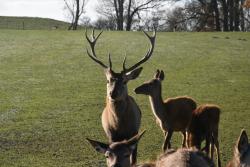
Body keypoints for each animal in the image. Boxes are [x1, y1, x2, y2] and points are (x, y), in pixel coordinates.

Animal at [86, 28, 156, 164]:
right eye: (108, 80)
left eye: (124, 81)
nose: (112, 93)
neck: (120, 126)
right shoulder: (110, 136)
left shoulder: (134, 132)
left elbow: (133, 159)